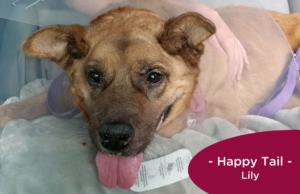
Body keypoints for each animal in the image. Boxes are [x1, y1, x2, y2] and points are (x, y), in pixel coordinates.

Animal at [0, 4, 300, 189]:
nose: (114, 139)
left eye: (154, 77)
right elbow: (34, 102)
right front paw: (7, 112)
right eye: (93, 76)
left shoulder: (225, 109)